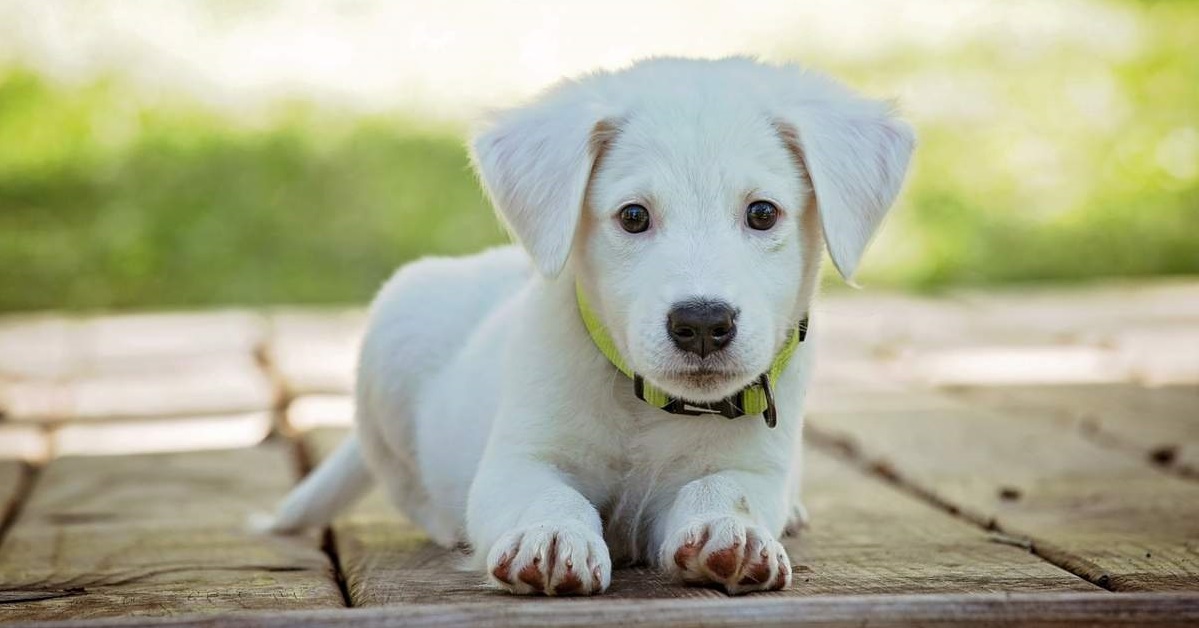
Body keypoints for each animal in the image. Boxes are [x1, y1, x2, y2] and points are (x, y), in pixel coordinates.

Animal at [267, 56, 911, 596]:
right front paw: (551, 536)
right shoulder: (519, 459)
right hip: (393, 338)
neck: (647, 406)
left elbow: (724, 489)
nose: (703, 323)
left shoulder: (753, 466)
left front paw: (732, 532)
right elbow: (546, 495)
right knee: (410, 488)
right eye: (633, 217)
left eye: (762, 213)